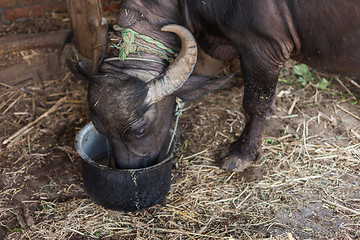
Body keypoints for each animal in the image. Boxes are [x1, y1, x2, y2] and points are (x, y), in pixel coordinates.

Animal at [71, 0, 358, 172]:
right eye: (100, 131)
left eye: (139, 131)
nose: (129, 169)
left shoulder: (262, 48)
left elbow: (255, 103)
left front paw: (241, 155)